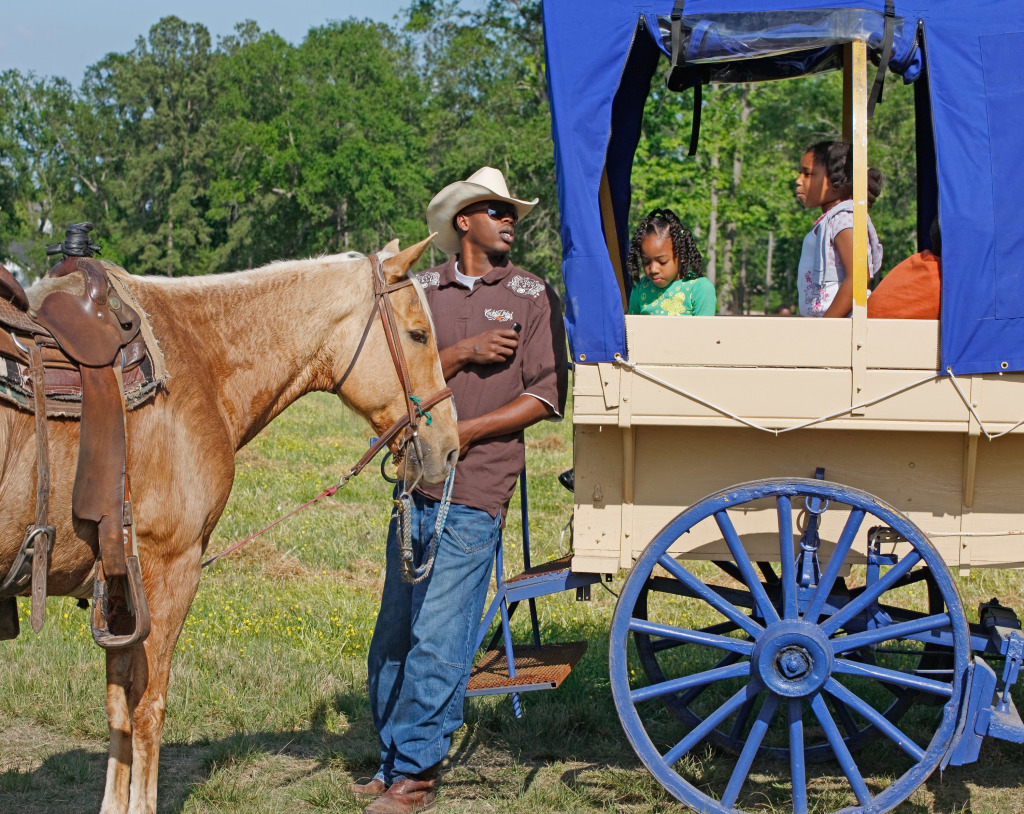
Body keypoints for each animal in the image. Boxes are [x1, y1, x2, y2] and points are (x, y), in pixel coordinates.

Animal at [0, 236, 459, 814]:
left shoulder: (121, 587)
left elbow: (118, 707)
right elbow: (149, 707)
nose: (450, 446)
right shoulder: (169, 571)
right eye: (418, 334)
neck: (197, 363)